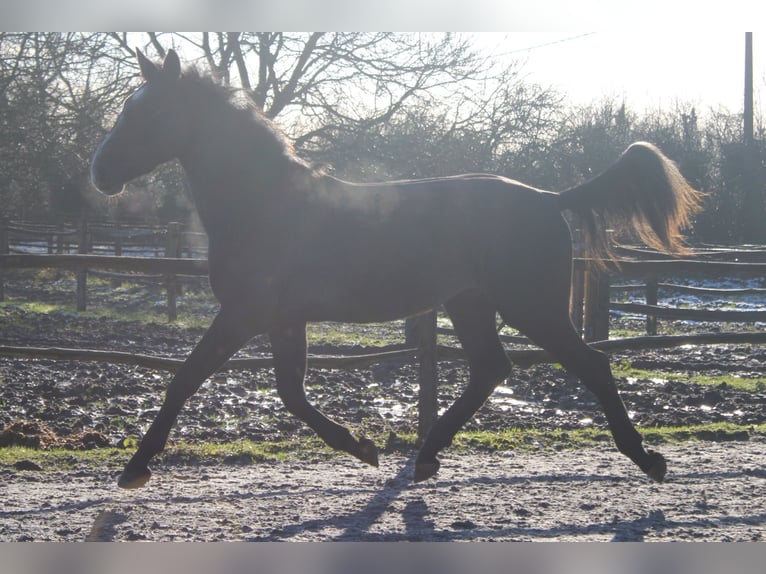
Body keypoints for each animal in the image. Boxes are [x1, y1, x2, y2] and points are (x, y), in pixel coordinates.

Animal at [88, 48, 704, 490]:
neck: (264, 204)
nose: (99, 172)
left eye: (150, 112)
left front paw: (135, 468)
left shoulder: (244, 313)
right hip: (470, 303)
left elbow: (187, 377)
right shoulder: (283, 320)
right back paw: (425, 459)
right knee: (491, 369)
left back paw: (648, 460)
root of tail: (548, 198)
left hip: (530, 306)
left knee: (591, 365)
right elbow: (290, 392)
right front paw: (363, 448)